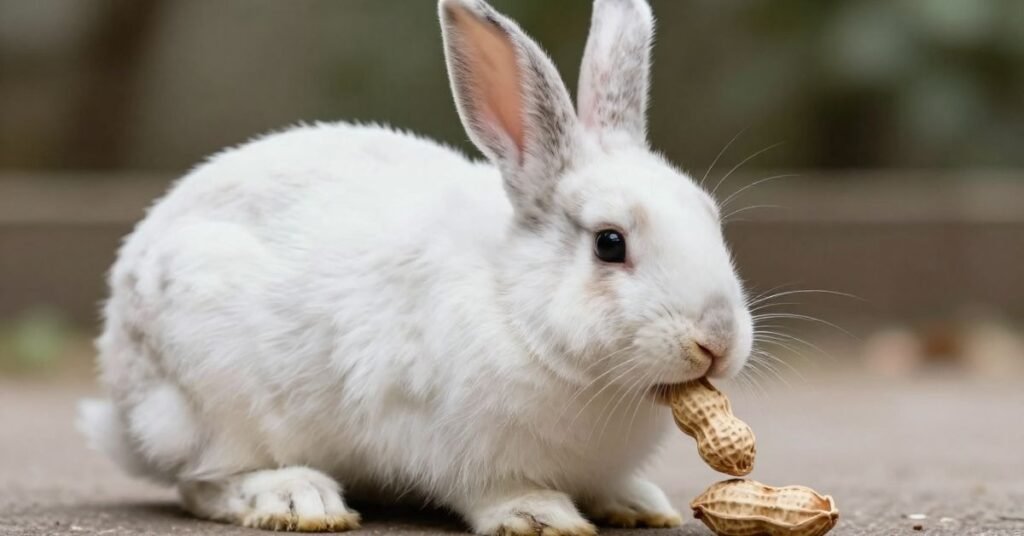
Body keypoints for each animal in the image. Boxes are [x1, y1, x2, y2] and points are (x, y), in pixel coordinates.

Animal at [78, 0, 754, 533]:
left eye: (710, 217)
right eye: (610, 244)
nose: (717, 340)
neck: (516, 307)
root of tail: (122, 403)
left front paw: (637, 504)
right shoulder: (460, 448)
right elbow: (495, 491)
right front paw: (539, 516)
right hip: (214, 396)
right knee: (204, 481)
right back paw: (298, 499)